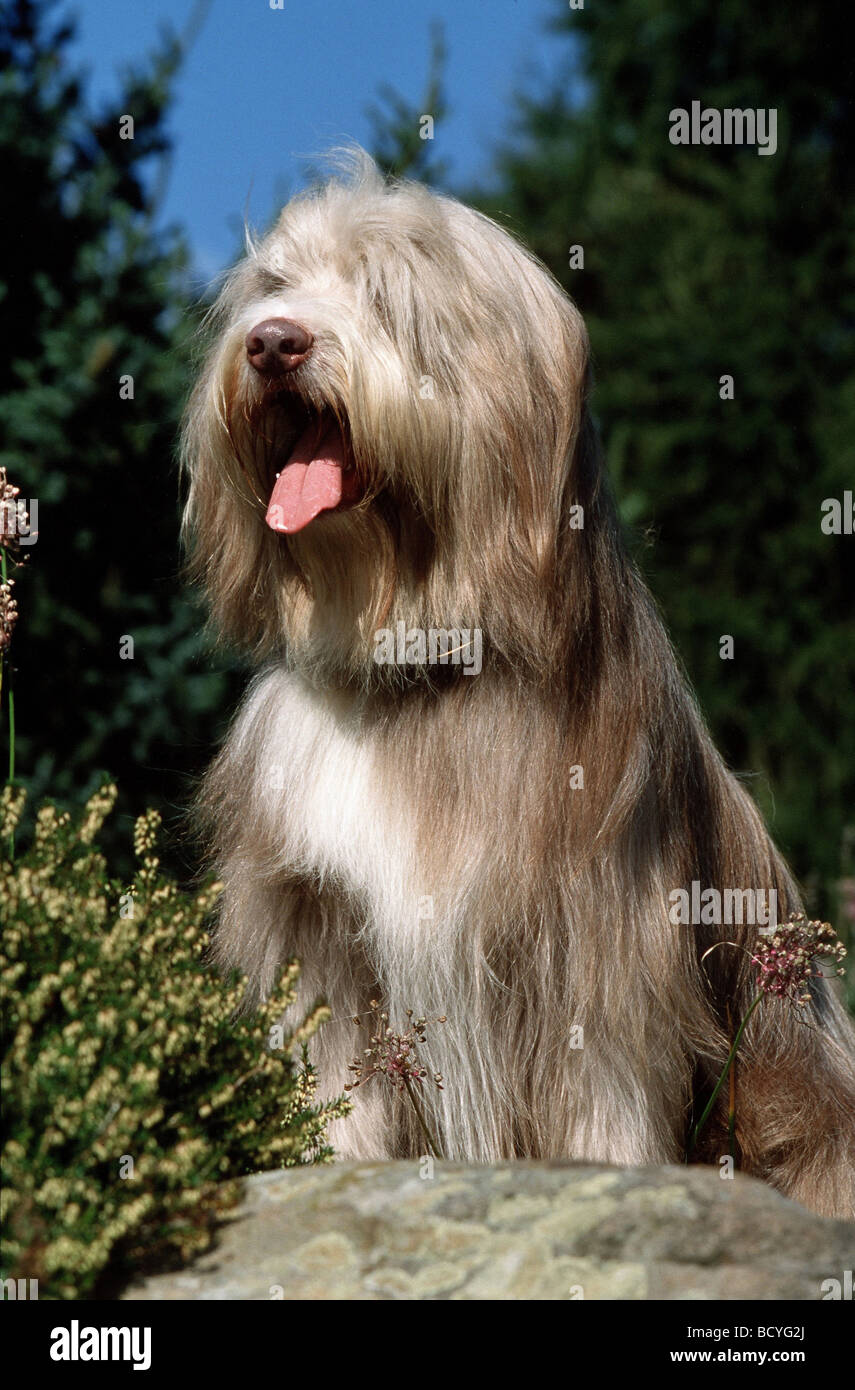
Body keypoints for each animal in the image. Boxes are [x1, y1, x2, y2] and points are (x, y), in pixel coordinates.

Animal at [180, 154, 855, 1217]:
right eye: (273, 287)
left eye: (387, 295)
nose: (273, 345)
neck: (416, 665)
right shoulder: (321, 937)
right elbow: (337, 1091)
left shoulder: (595, 949)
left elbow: (600, 1102)